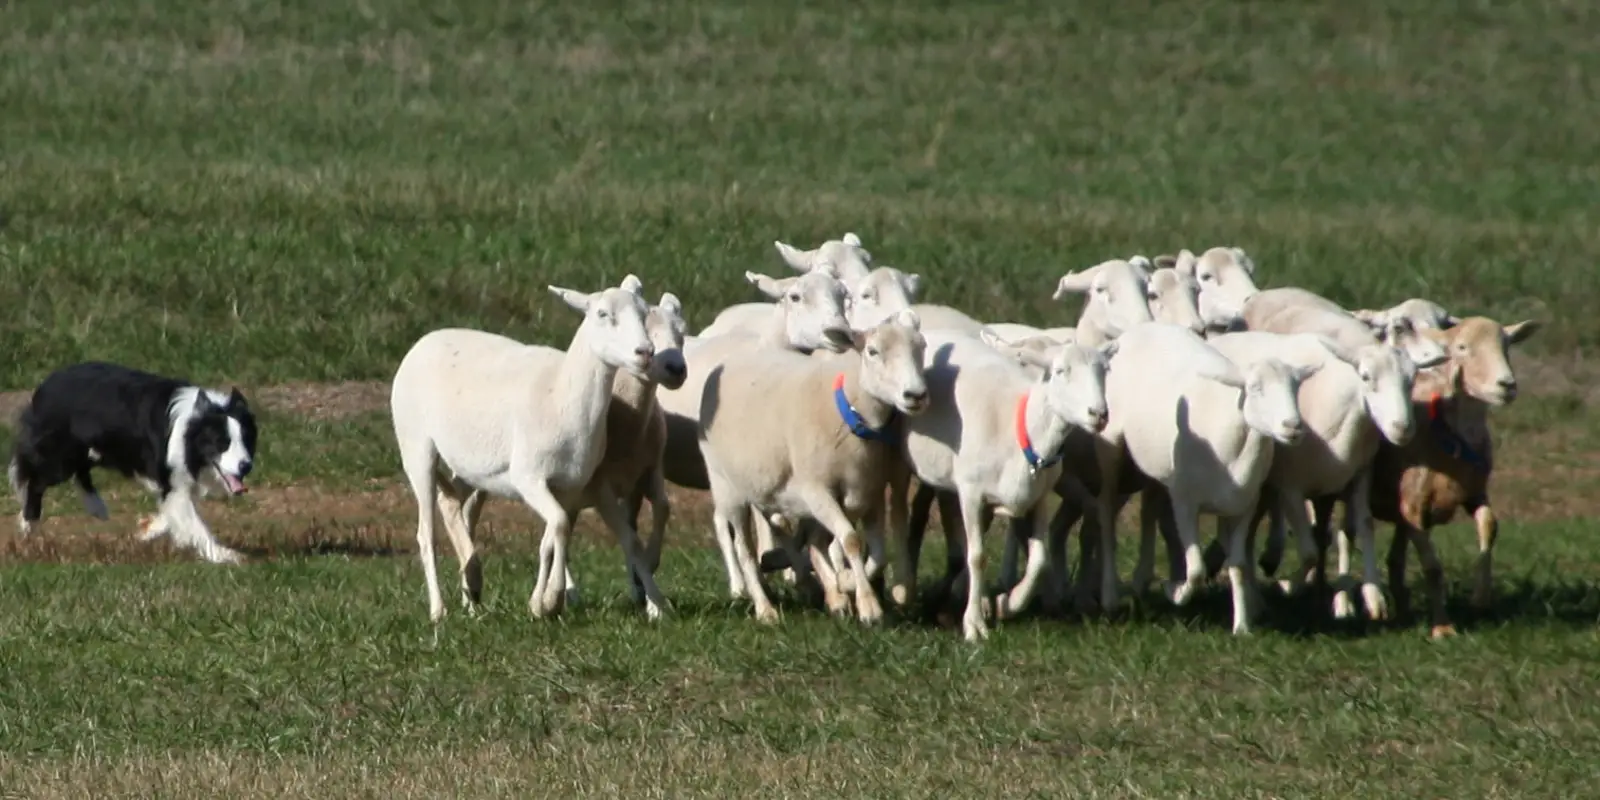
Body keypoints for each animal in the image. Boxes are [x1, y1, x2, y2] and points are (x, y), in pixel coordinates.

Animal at [390, 274, 656, 622]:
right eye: (602, 314)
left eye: (644, 313)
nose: (645, 351)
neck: (562, 394)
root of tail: (422, 341)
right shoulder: (528, 476)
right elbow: (559, 526)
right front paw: (548, 600)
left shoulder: (570, 484)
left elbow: (556, 535)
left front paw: (545, 601)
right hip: (416, 446)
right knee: (426, 532)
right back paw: (438, 609)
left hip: (473, 466)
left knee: (450, 502)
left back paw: (472, 586)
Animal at [696, 309, 930, 624]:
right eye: (872, 351)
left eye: (921, 347)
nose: (915, 395)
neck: (849, 412)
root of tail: (730, 361)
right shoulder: (817, 490)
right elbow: (851, 540)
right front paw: (868, 606)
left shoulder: (869, 492)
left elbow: (877, 553)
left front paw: (846, 584)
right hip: (727, 487)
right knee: (745, 550)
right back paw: (765, 608)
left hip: (767, 485)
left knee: (801, 536)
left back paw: (827, 592)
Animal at [888, 328, 1112, 640]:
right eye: (1060, 371)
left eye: (1104, 371)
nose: (1099, 414)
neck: (1019, 430)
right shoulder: (971, 494)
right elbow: (977, 556)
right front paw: (974, 625)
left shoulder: (1038, 496)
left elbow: (1039, 558)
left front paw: (1009, 602)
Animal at [1093, 322, 1321, 633]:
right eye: (1255, 388)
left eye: (1296, 387)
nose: (1293, 426)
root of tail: (1142, 328)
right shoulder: (1185, 503)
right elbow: (1198, 569)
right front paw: (1175, 592)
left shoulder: (1244, 506)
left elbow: (1237, 565)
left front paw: (1242, 626)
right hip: (1110, 446)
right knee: (1105, 516)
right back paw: (1110, 598)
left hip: (1157, 467)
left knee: (1148, 510)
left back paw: (1140, 582)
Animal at [1366, 317, 1539, 638]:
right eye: (1461, 347)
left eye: (1506, 344)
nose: (1507, 385)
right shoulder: (1414, 507)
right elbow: (1433, 568)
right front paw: (1443, 628)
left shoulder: (1473, 493)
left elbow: (1490, 527)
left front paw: (1481, 597)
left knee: (1394, 560)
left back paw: (1403, 610)